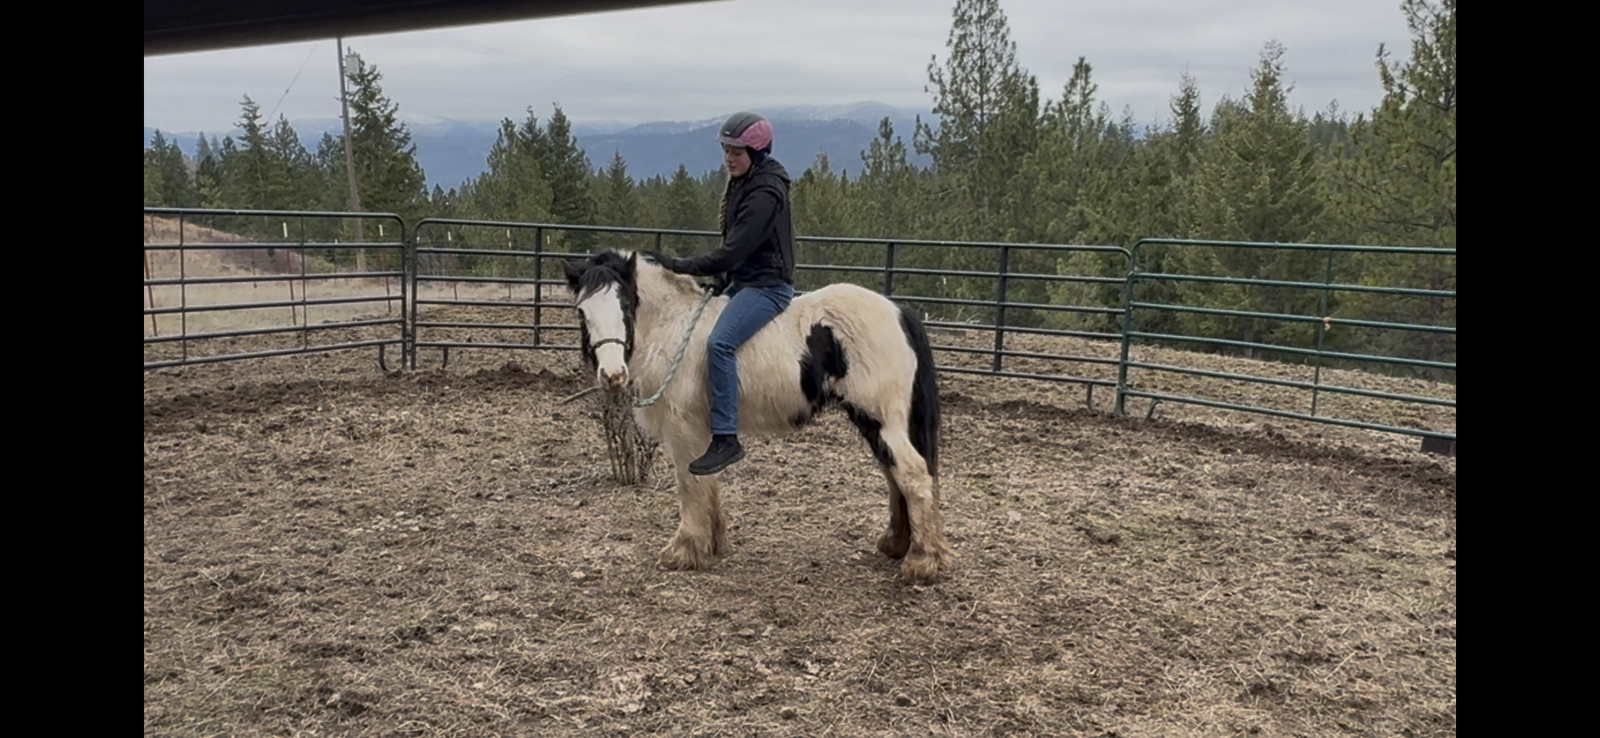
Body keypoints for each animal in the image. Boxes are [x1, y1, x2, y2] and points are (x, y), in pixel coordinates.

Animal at [561, 250, 951, 583]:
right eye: (582, 312)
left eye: (625, 305)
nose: (612, 376)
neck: (675, 326)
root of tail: (898, 312)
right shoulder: (705, 433)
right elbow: (707, 481)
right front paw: (712, 543)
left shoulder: (684, 427)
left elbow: (689, 483)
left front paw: (684, 549)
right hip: (872, 421)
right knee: (894, 475)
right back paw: (897, 545)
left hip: (881, 420)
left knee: (913, 476)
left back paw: (921, 561)